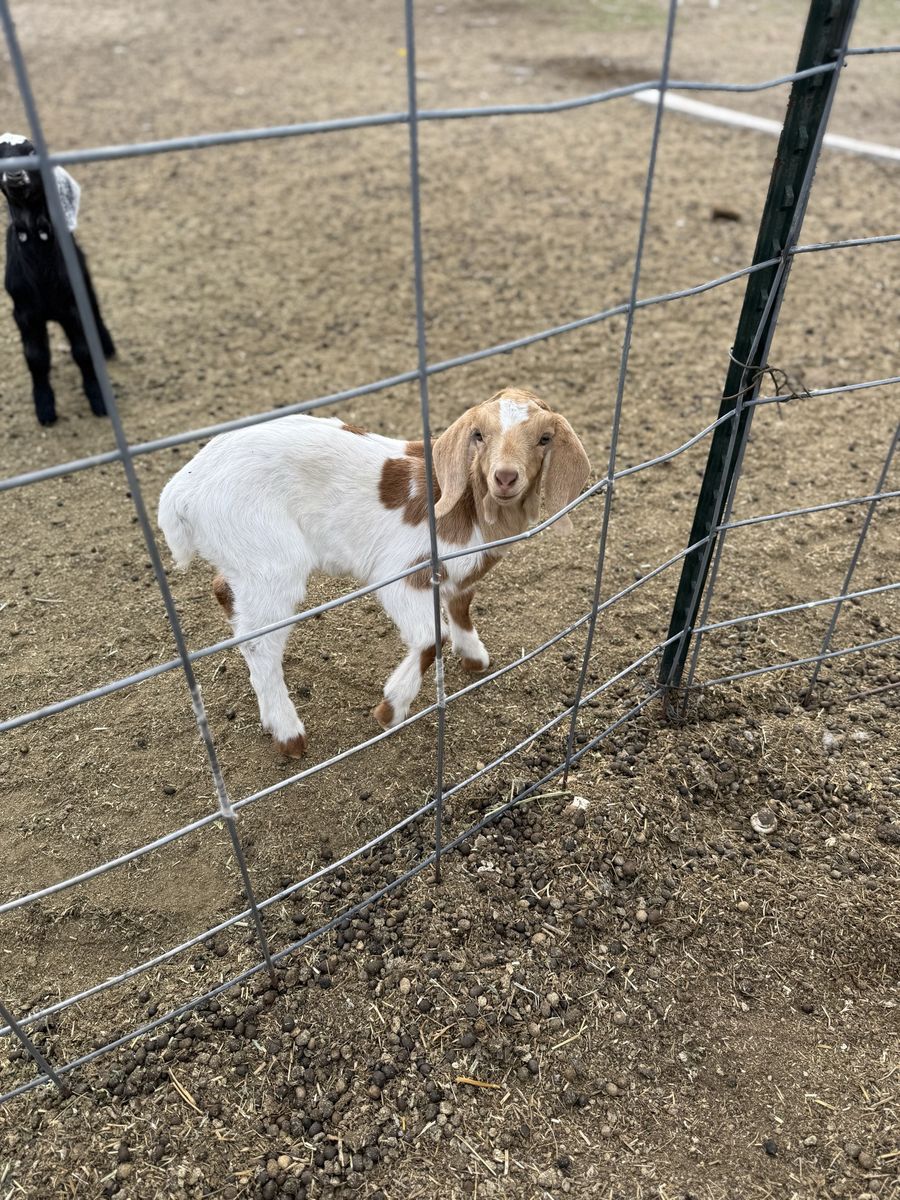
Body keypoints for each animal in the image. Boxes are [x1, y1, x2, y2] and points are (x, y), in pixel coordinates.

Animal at [1, 133, 115, 426]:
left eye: (32, 152)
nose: (14, 174)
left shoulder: (73, 307)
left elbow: (83, 351)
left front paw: (98, 399)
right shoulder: (24, 313)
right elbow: (36, 357)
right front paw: (45, 408)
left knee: (96, 313)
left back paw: (107, 347)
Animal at [158, 388, 591, 758]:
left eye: (545, 438)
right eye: (479, 435)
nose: (504, 476)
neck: (469, 507)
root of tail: (181, 492)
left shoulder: (462, 571)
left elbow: (462, 605)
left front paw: (474, 657)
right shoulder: (404, 572)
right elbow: (430, 638)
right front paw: (390, 709)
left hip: (245, 558)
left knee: (226, 593)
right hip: (269, 558)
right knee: (259, 640)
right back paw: (288, 733)